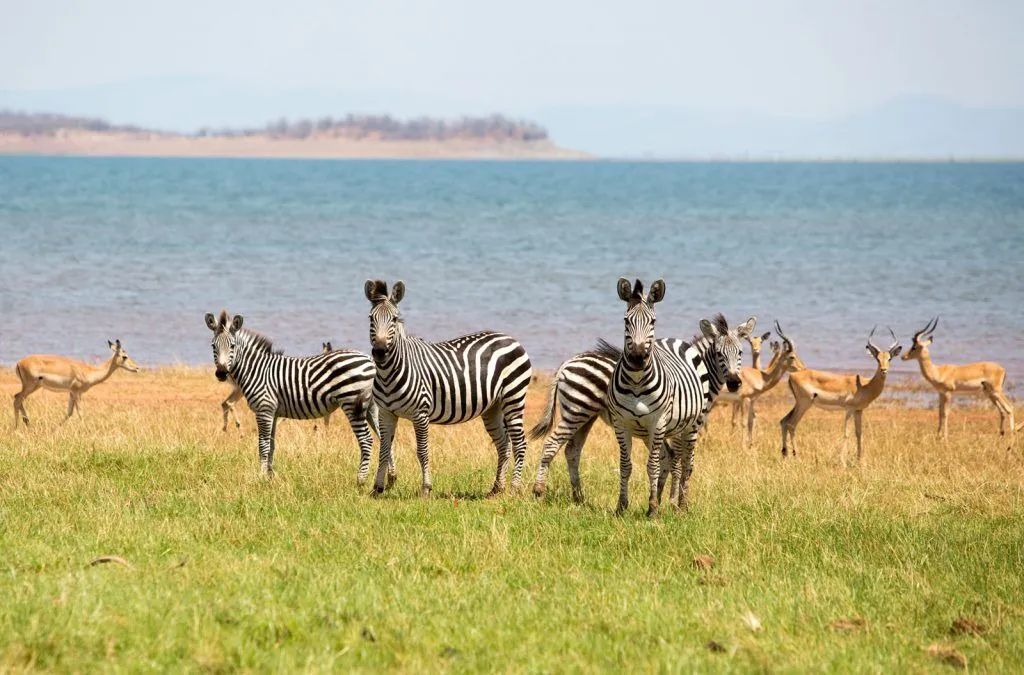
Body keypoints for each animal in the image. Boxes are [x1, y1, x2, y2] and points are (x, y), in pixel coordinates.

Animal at [205, 311, 378, 481]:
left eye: (232, 346)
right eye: (213, 346)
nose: (221, 373)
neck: (257, 370)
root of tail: (369, 359)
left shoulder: (264, 410)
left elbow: (263, 444)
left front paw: (261, 476)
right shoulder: (273, 413)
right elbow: (271, 445)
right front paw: (270, 477)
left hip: (352, 403)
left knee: (366, 440)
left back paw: (361, 480)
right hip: (371, 406)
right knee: (381, 437)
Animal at [364, 280, 533, 498]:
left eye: (394, 319)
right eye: (371, 319)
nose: (379, 352)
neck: (389, 374)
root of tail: (511, 338)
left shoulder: (420, 414)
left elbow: (422, 451)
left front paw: (426, 489)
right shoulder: (386, 413)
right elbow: (384, 450)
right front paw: (377, 489)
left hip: (514, 397)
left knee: (520, 443)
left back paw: (513, 488)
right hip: (493, 407)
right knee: (503, 444)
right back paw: (497, 488)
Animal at [532, 279, 753, 515]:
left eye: (740, 353)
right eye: (720, 354)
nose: (735, 383)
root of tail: (565, 364)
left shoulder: (659, 426)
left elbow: (665, 460)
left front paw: (660, 499)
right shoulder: (683, 426)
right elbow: (677, 462)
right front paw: (672, 503)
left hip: (585, 417)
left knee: (572, 451)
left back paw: (579, 498)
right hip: (576, 411)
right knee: (552, 444)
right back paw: (539, 491)